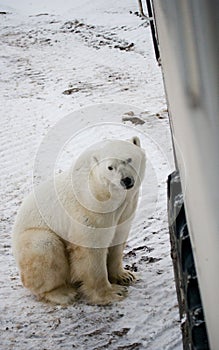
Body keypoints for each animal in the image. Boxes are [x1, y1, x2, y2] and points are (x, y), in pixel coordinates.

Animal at [12, 135, 145, 304]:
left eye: (129, 159)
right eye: (110, 167)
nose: (126, 180)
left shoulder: (126, 210)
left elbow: (118, 239)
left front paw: (125, 276)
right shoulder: (90, 208)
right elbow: (91, 249)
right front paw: (113, 293)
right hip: (32, 238)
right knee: (45, 246)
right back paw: (62, 293)